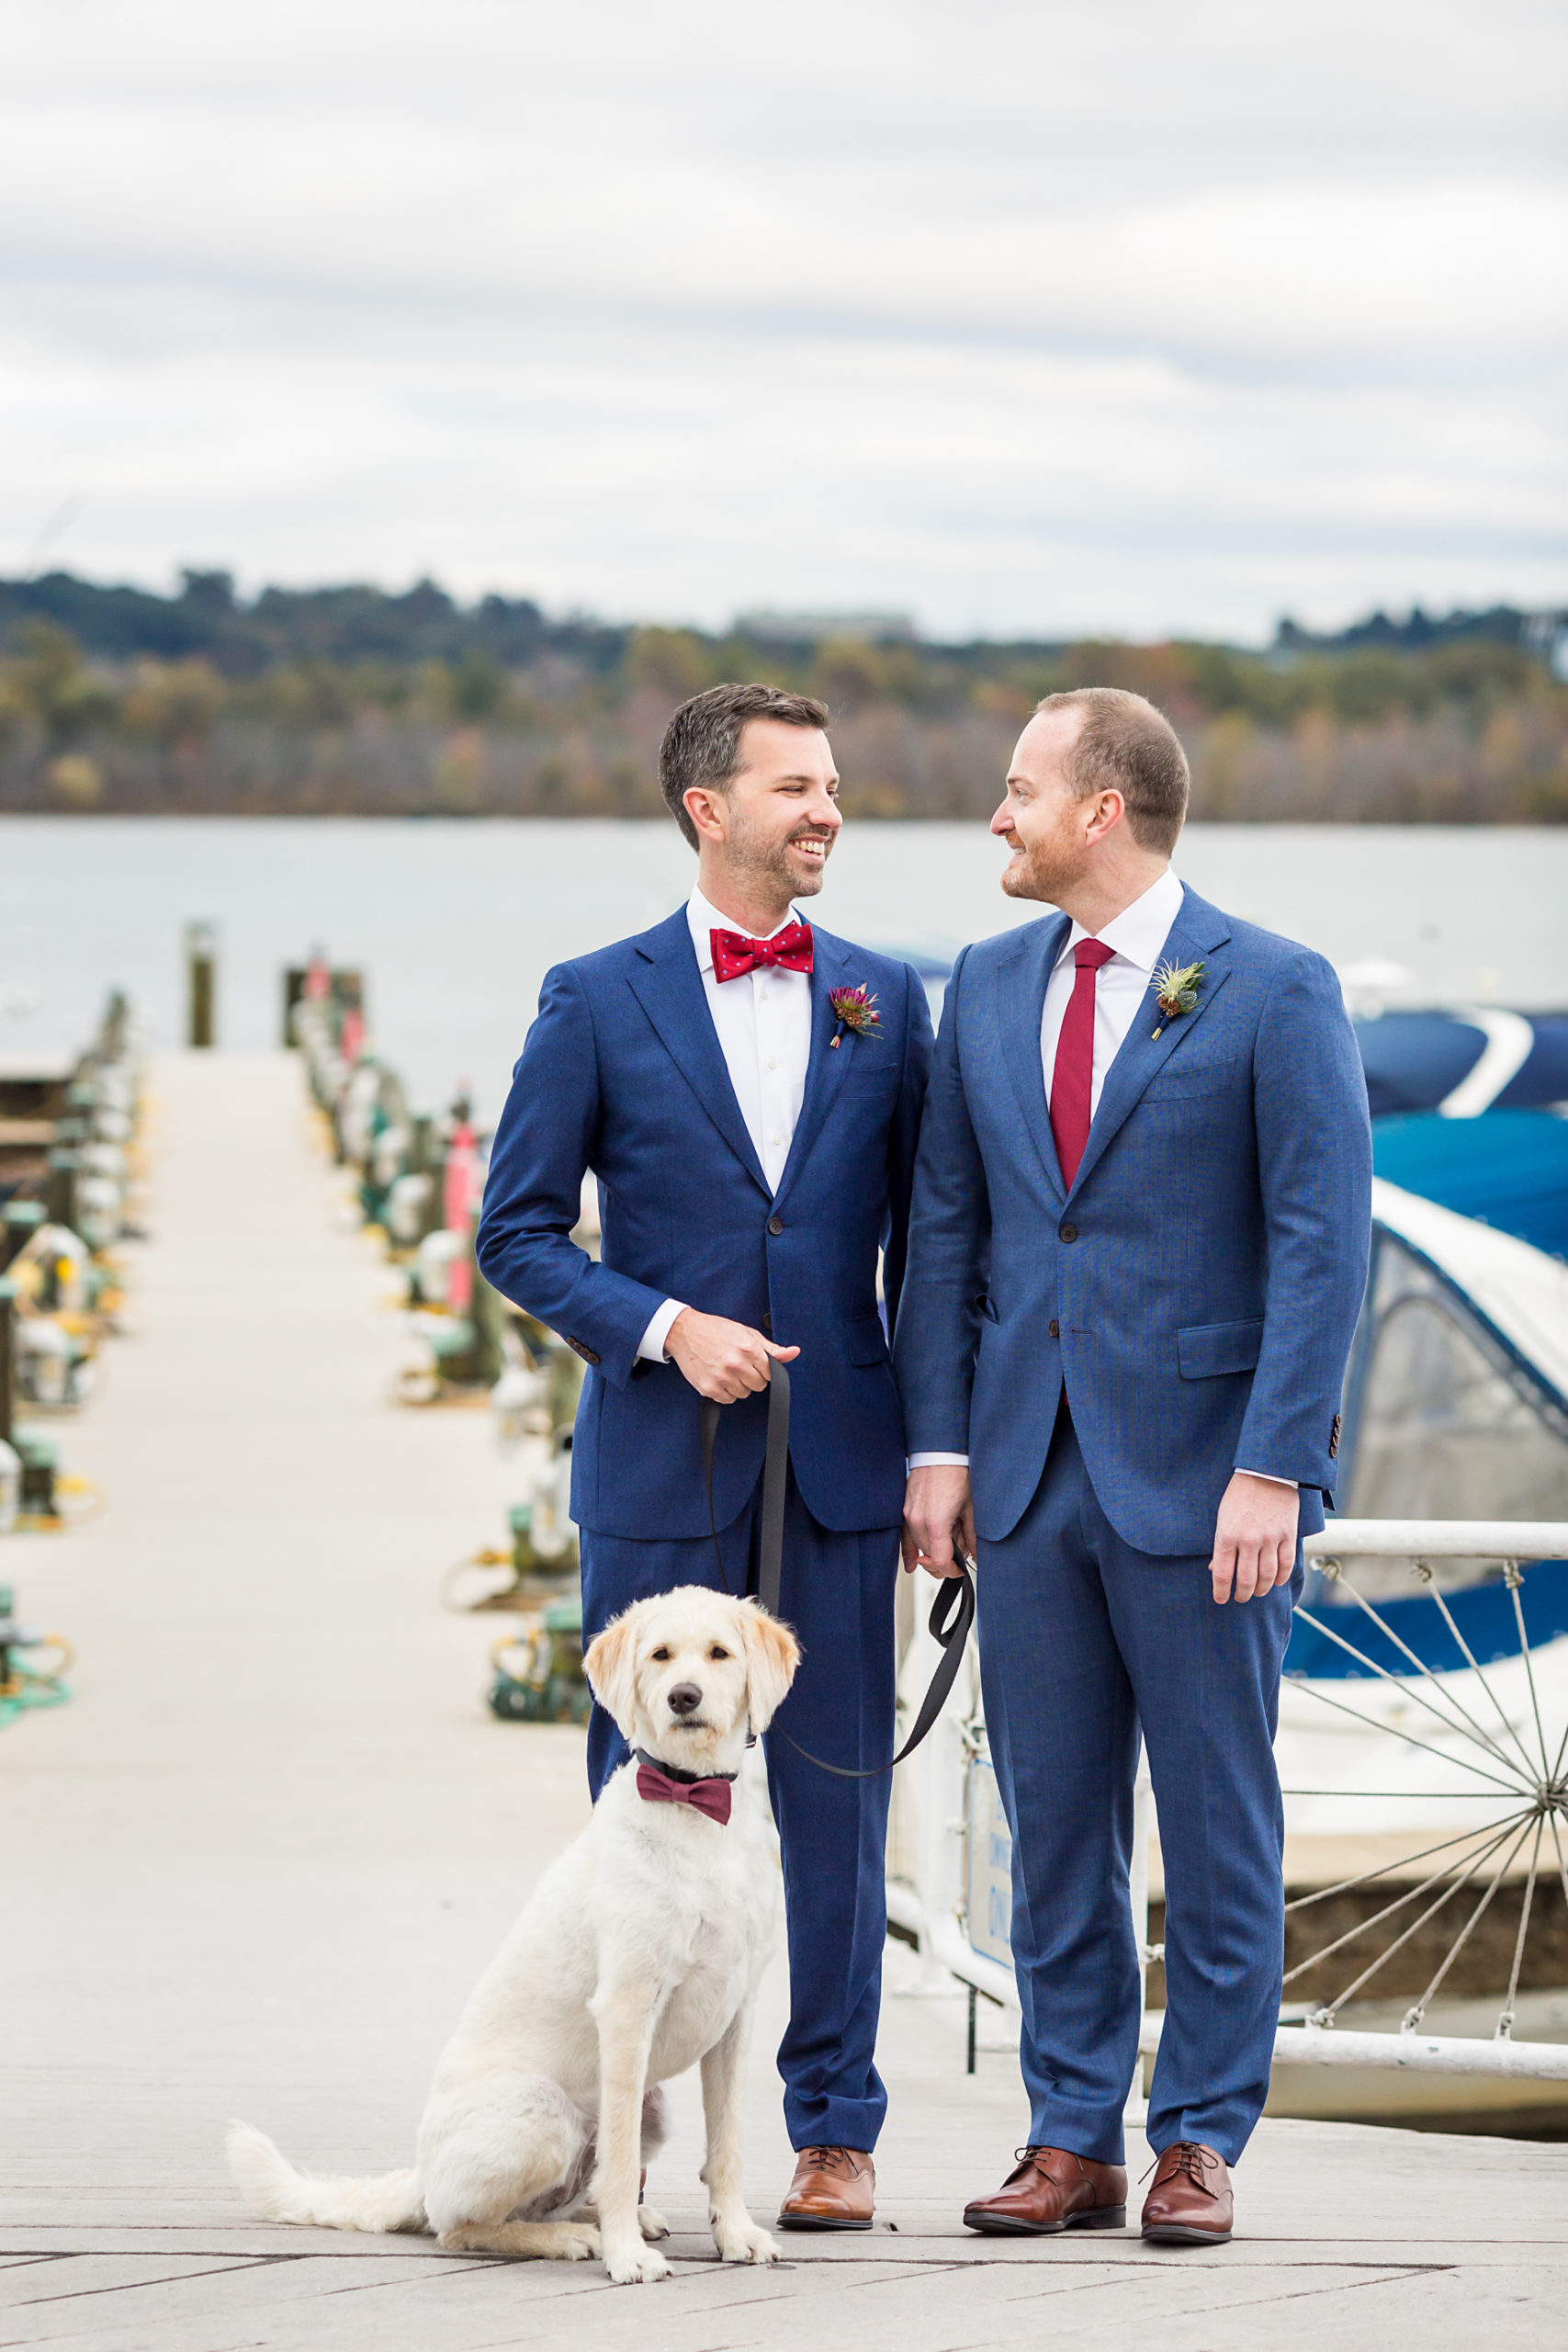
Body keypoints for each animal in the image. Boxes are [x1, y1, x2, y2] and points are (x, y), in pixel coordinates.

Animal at [223, 1580, 799, 2277]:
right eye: (660, 1655)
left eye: (718, 1653)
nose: (682, 1697)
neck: (693, 1806)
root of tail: (421, 2175)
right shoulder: (628, 2007)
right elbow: (621, 2160)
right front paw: (626, 2257)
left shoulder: (735, 2014)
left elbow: (727, 2145)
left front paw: (735, 2233)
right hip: (542, 2116)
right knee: (461, 2227)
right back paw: (574, 2238)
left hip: (651, 2108)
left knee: (571, 2188)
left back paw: (604, 2222)